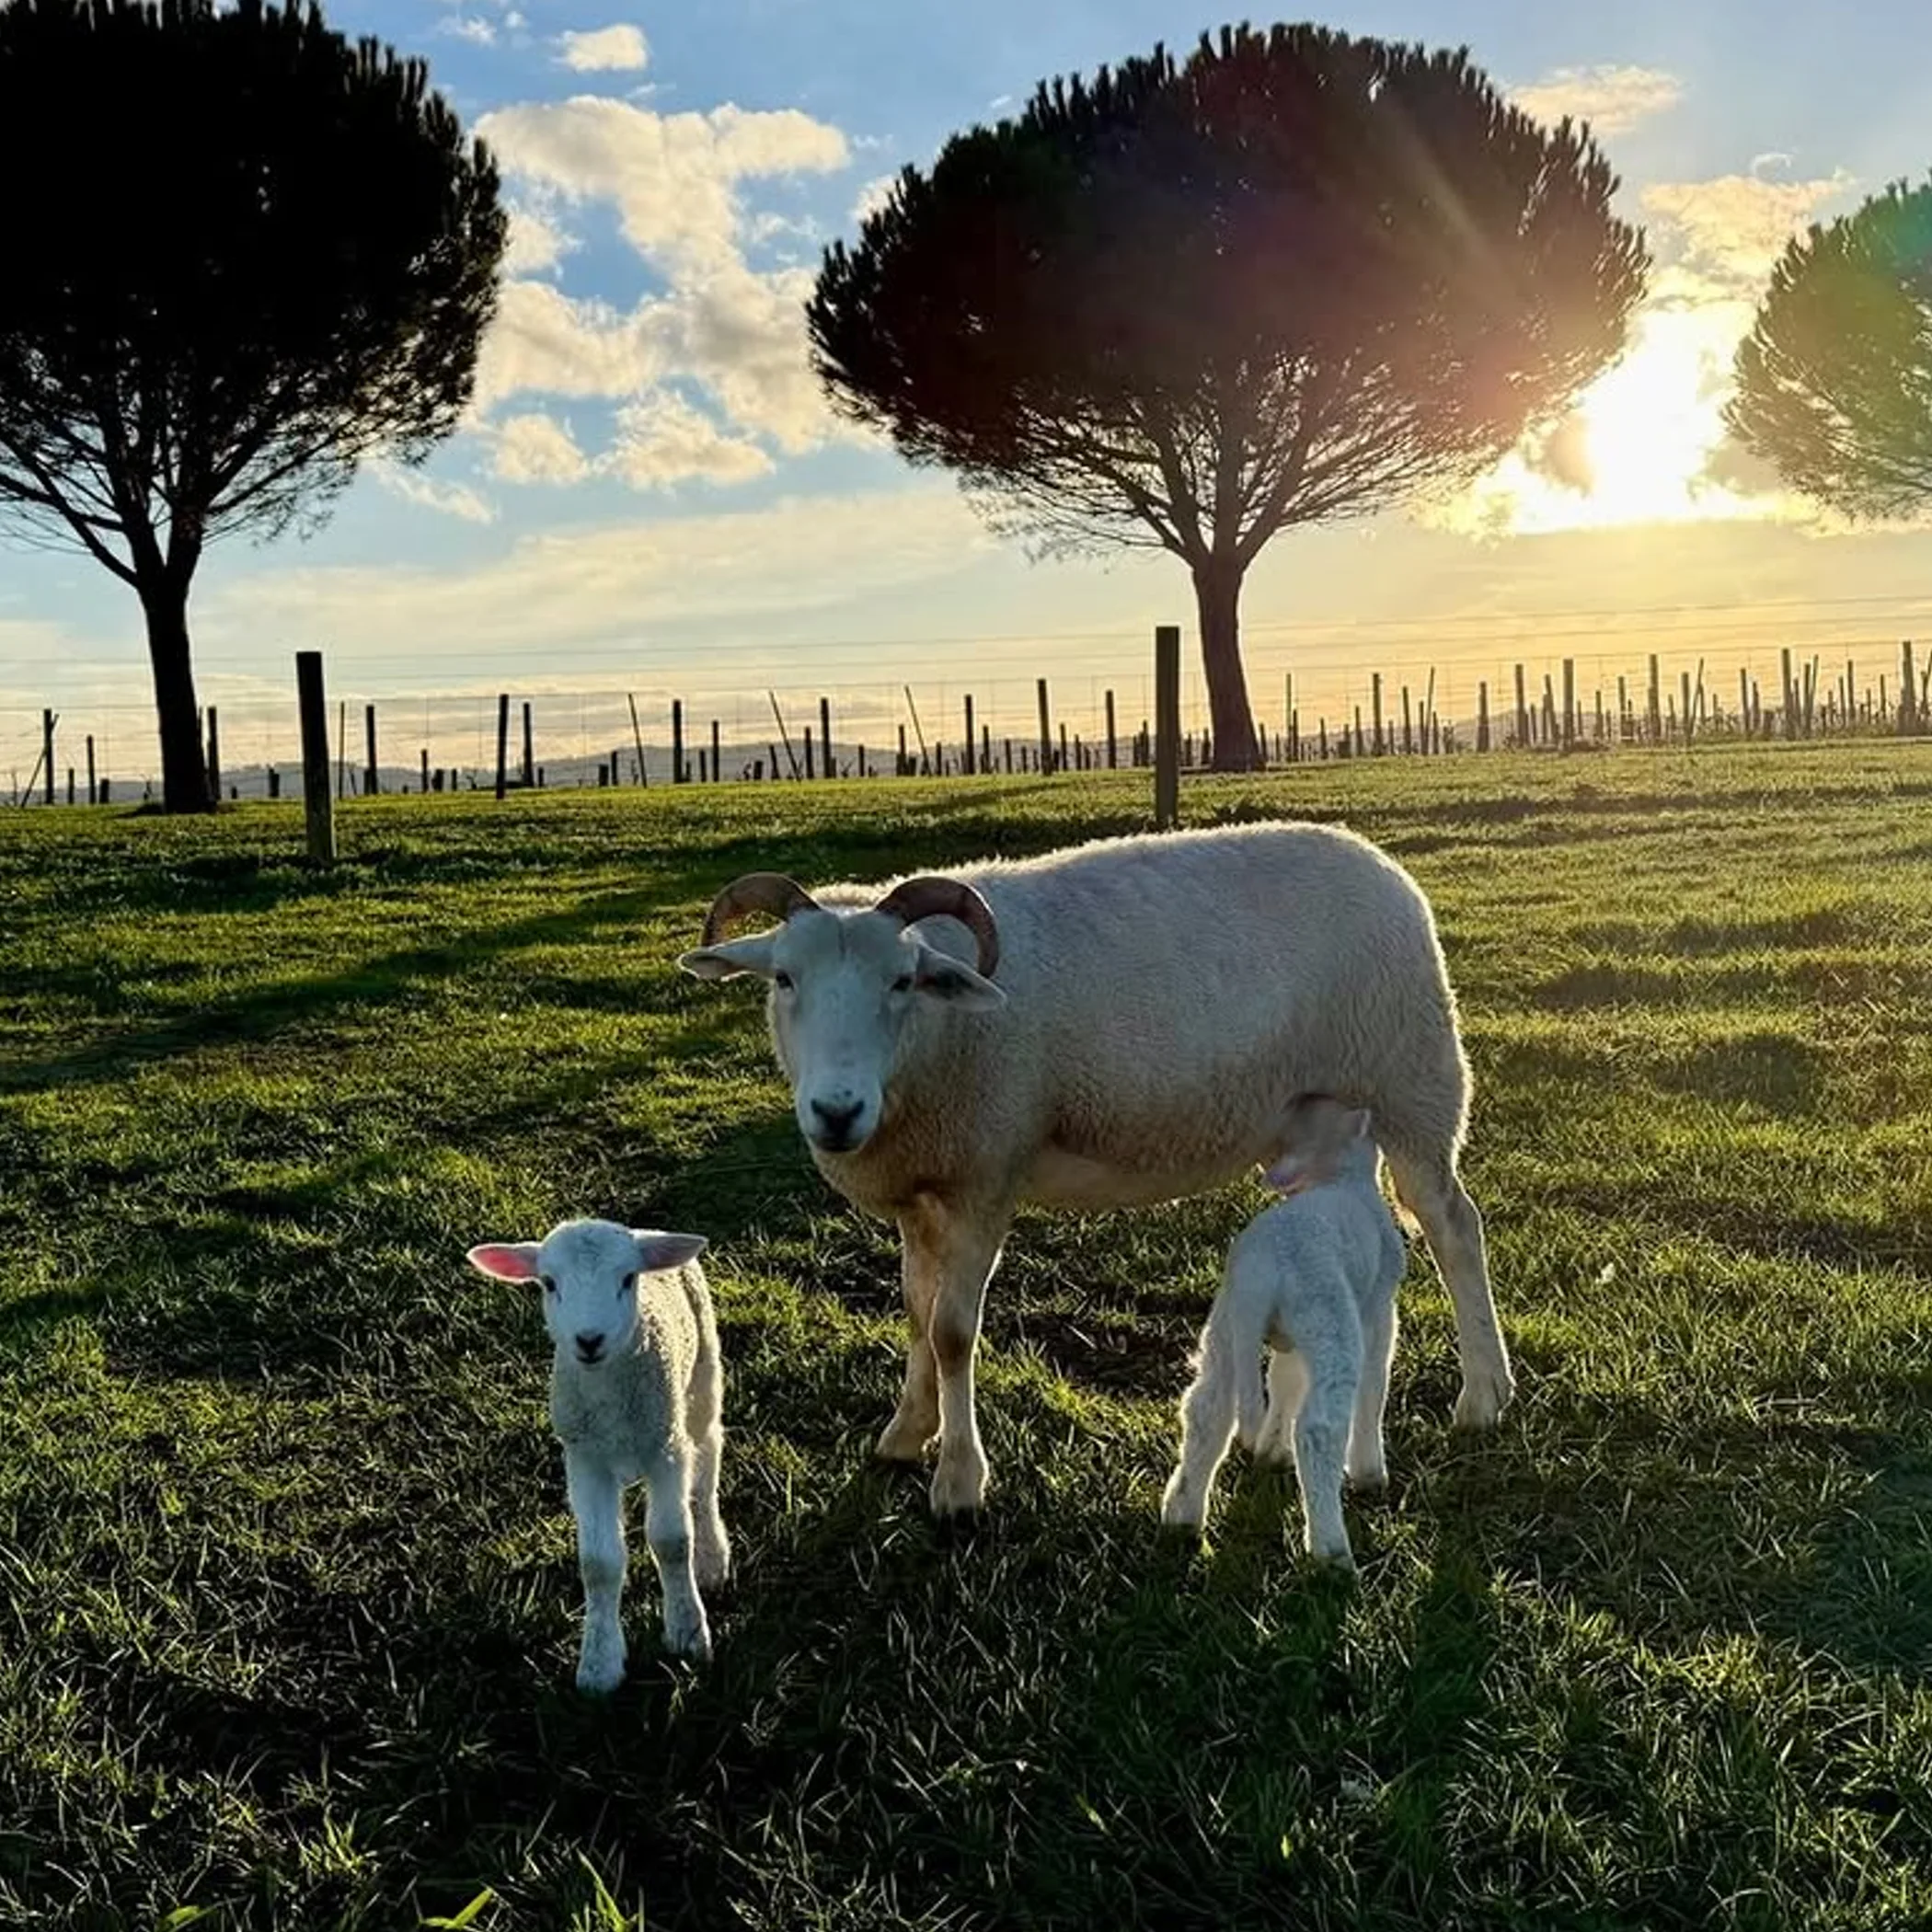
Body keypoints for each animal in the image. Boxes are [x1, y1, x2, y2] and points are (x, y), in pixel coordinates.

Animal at [465, 1218, 731, 1684]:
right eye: (549, 1283)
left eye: (627, 1279)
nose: (589, 1340)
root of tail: (648, 1230)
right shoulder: (585, 1460)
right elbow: (598, 1564)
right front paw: (599, 1664)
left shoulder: (664, 1448)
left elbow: (672, 1542)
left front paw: (688, 1632)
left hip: (701, 1371)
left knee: (707, 1455)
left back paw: (712, 1555)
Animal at [1160, 1095, 1408, 1566]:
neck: (1345, 1178)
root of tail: (1261, 1268)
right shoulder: (1378, 1308)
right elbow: (1375, 1384)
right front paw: (1369, 1472)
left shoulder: (1291, 1339)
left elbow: (1285, 1380)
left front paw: (1273, 1451)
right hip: (1329, 1317)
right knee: (1318, 1428)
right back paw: (1332, 1551)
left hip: (1229, 1325)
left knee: (1208, 1410)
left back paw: (1182, 1516)